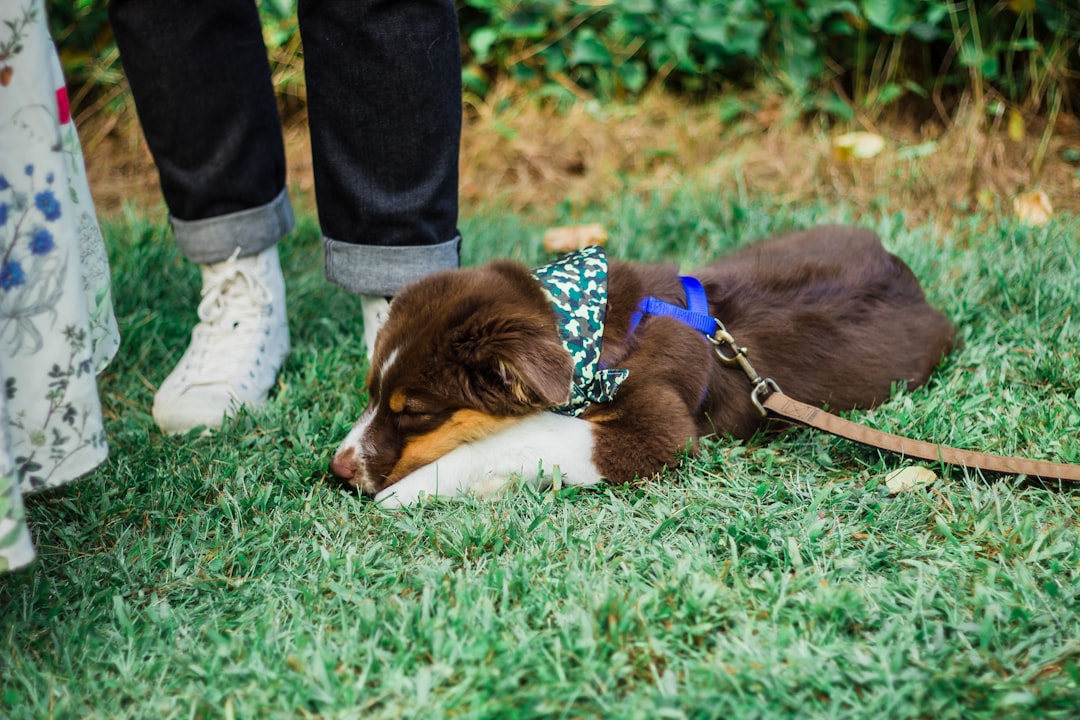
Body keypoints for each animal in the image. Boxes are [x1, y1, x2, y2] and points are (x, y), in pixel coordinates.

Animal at [328, 225, 954, 507]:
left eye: (416, 412)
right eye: (371, 393)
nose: (338, 469)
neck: (597, 339)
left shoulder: (661, 431)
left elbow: (536, 432)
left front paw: (420, 487)